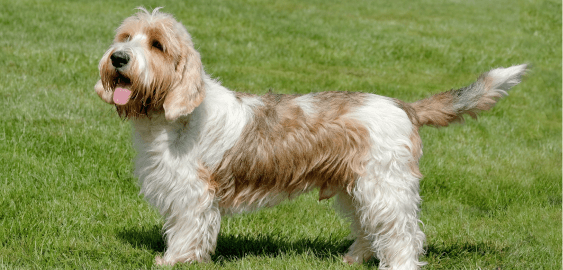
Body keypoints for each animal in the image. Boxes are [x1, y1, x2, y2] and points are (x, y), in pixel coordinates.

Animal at [96, 7, 528, 270]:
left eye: (157, 45)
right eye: (126, 36)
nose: (118, 58)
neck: (171, 118)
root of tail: (402, 105)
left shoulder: (192, 195)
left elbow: (186, 231)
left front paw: (173, 261)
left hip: (384, 187)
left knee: (403, 233)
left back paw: (398, 263)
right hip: (355, 189)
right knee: (369, 229)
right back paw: (353, 258)